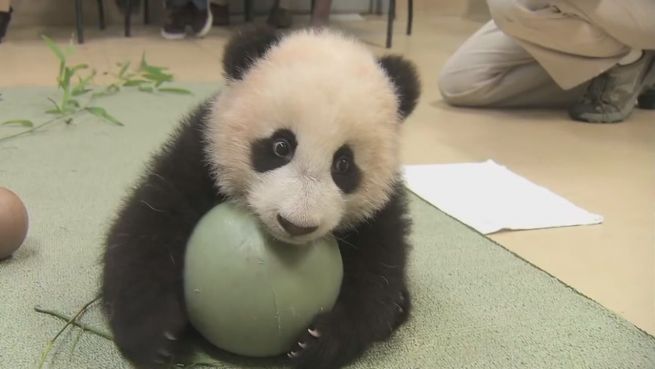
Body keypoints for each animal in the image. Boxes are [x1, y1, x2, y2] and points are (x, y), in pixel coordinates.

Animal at [101, 26, 420, 368]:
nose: (296, 224)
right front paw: (159, 337)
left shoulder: (382, 207)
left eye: (344, 164)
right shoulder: (200, 154)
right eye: (281, 146)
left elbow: (379, 273)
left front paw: (318, 341)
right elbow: (147, 227)